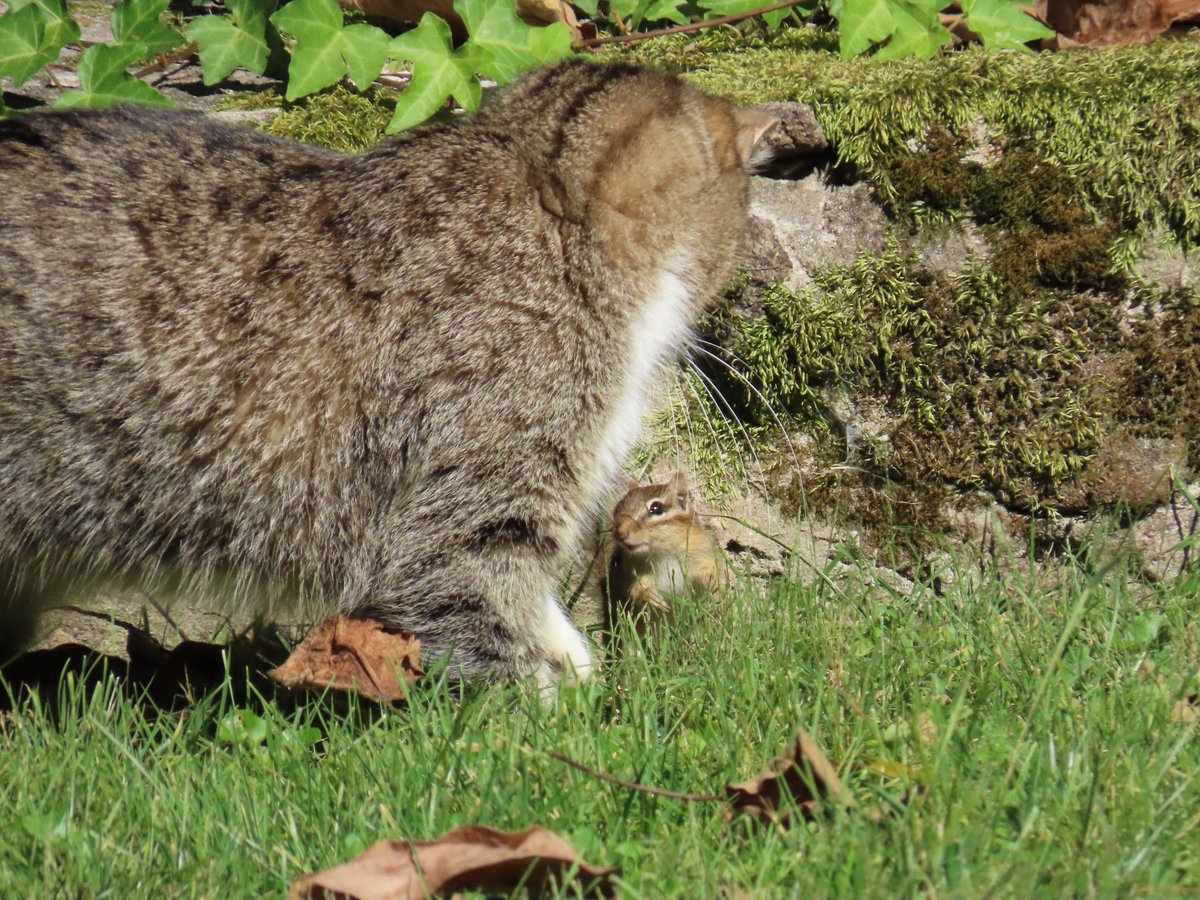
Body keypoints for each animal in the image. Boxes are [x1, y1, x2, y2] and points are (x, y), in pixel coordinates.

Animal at [606, 472, 728, 621]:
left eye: (656, 508)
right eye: (617, 508)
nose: (620, 533)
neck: (664, 553)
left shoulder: (703, 553)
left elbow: (713, 575)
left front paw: (708, 581)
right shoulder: (630, 571)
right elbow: (635, 590)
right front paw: (648, 595)